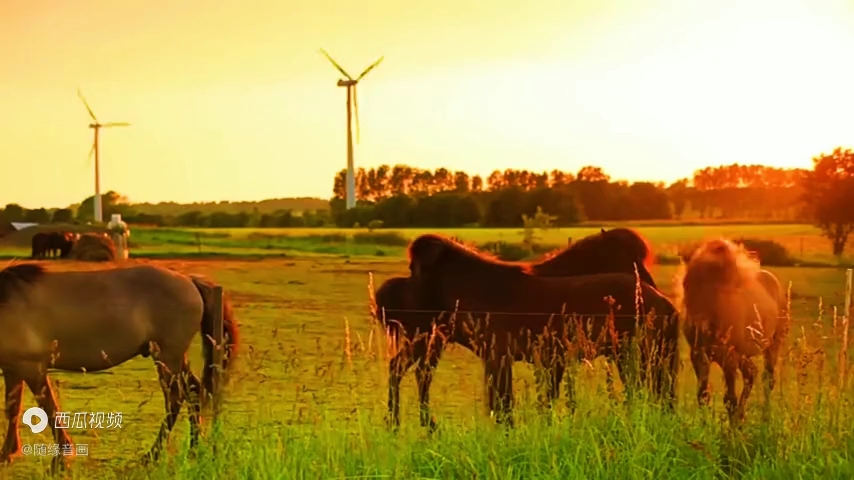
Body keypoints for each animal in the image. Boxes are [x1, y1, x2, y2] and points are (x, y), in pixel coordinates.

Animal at [0, 260, 239, 470]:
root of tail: (189, 280)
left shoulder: (32, 368)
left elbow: (49, 408)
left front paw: (62, 456)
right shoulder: (13, 368)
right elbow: (13, 409)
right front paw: (7, 453)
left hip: (167, 357)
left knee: (176, 398)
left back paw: (152, 455)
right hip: (175, 358)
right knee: (193, 391)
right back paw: (194, 449)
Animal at [374, 228, 664, 428]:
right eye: (631, 259)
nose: (651, 288)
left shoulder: (547, 360)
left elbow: (542, 400)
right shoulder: (507, 358)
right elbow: (508, 404)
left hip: (431, 341)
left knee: (413, 372)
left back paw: (414, 424)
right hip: (427, 340)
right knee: (409, 372)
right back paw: (405, 423)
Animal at [676, 238, 788, 422]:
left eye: (720, 290)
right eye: (686, 283)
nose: (698, 325)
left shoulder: (729, 358)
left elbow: (729, 399)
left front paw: (733, 427)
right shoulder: (699, 354)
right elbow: (703, 395)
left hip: (772, 345)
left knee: (767, 379)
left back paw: (764, 417)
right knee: (751, 373)